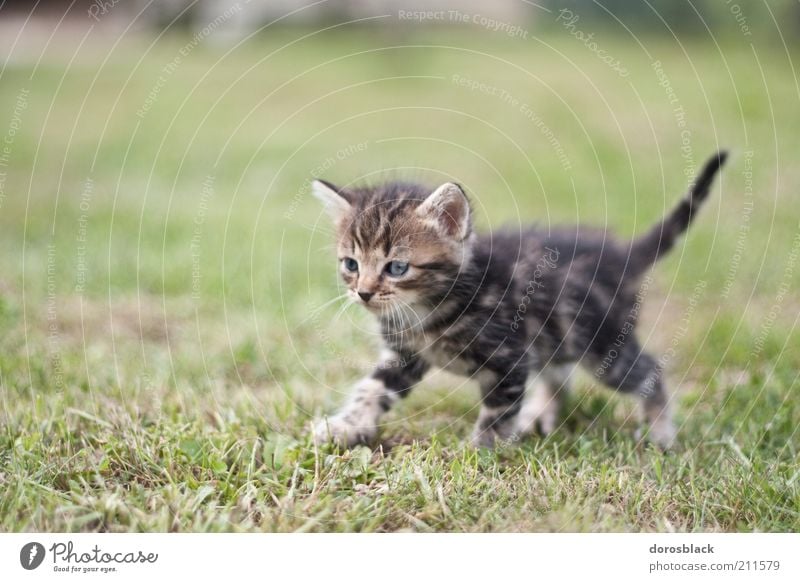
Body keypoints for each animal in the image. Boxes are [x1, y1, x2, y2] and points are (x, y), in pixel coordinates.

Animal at [310, 152, 724, 452]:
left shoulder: (509, 357)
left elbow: (496, 411)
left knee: (649, 371)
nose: (363, 292)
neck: (427, 309)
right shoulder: (404, 356)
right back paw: (539, 415)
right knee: (559, 374)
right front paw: (347, 426)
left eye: (396, 267)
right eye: (351, 264)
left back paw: (660, 434)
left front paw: (482, 451)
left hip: (603, 346)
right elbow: (372, 389)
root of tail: (622, 255)